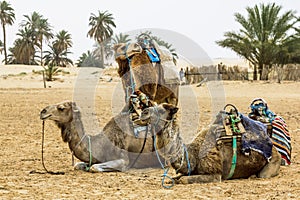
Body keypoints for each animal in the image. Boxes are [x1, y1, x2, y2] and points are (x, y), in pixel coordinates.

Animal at [140, 104, 282, 184]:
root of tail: (275, 148)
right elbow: (175, 177)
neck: (193, 154)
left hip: (272, 163)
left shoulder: (215, 174)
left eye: (161, 110)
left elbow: (183, 180)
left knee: (263, 174)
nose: (143, 112)